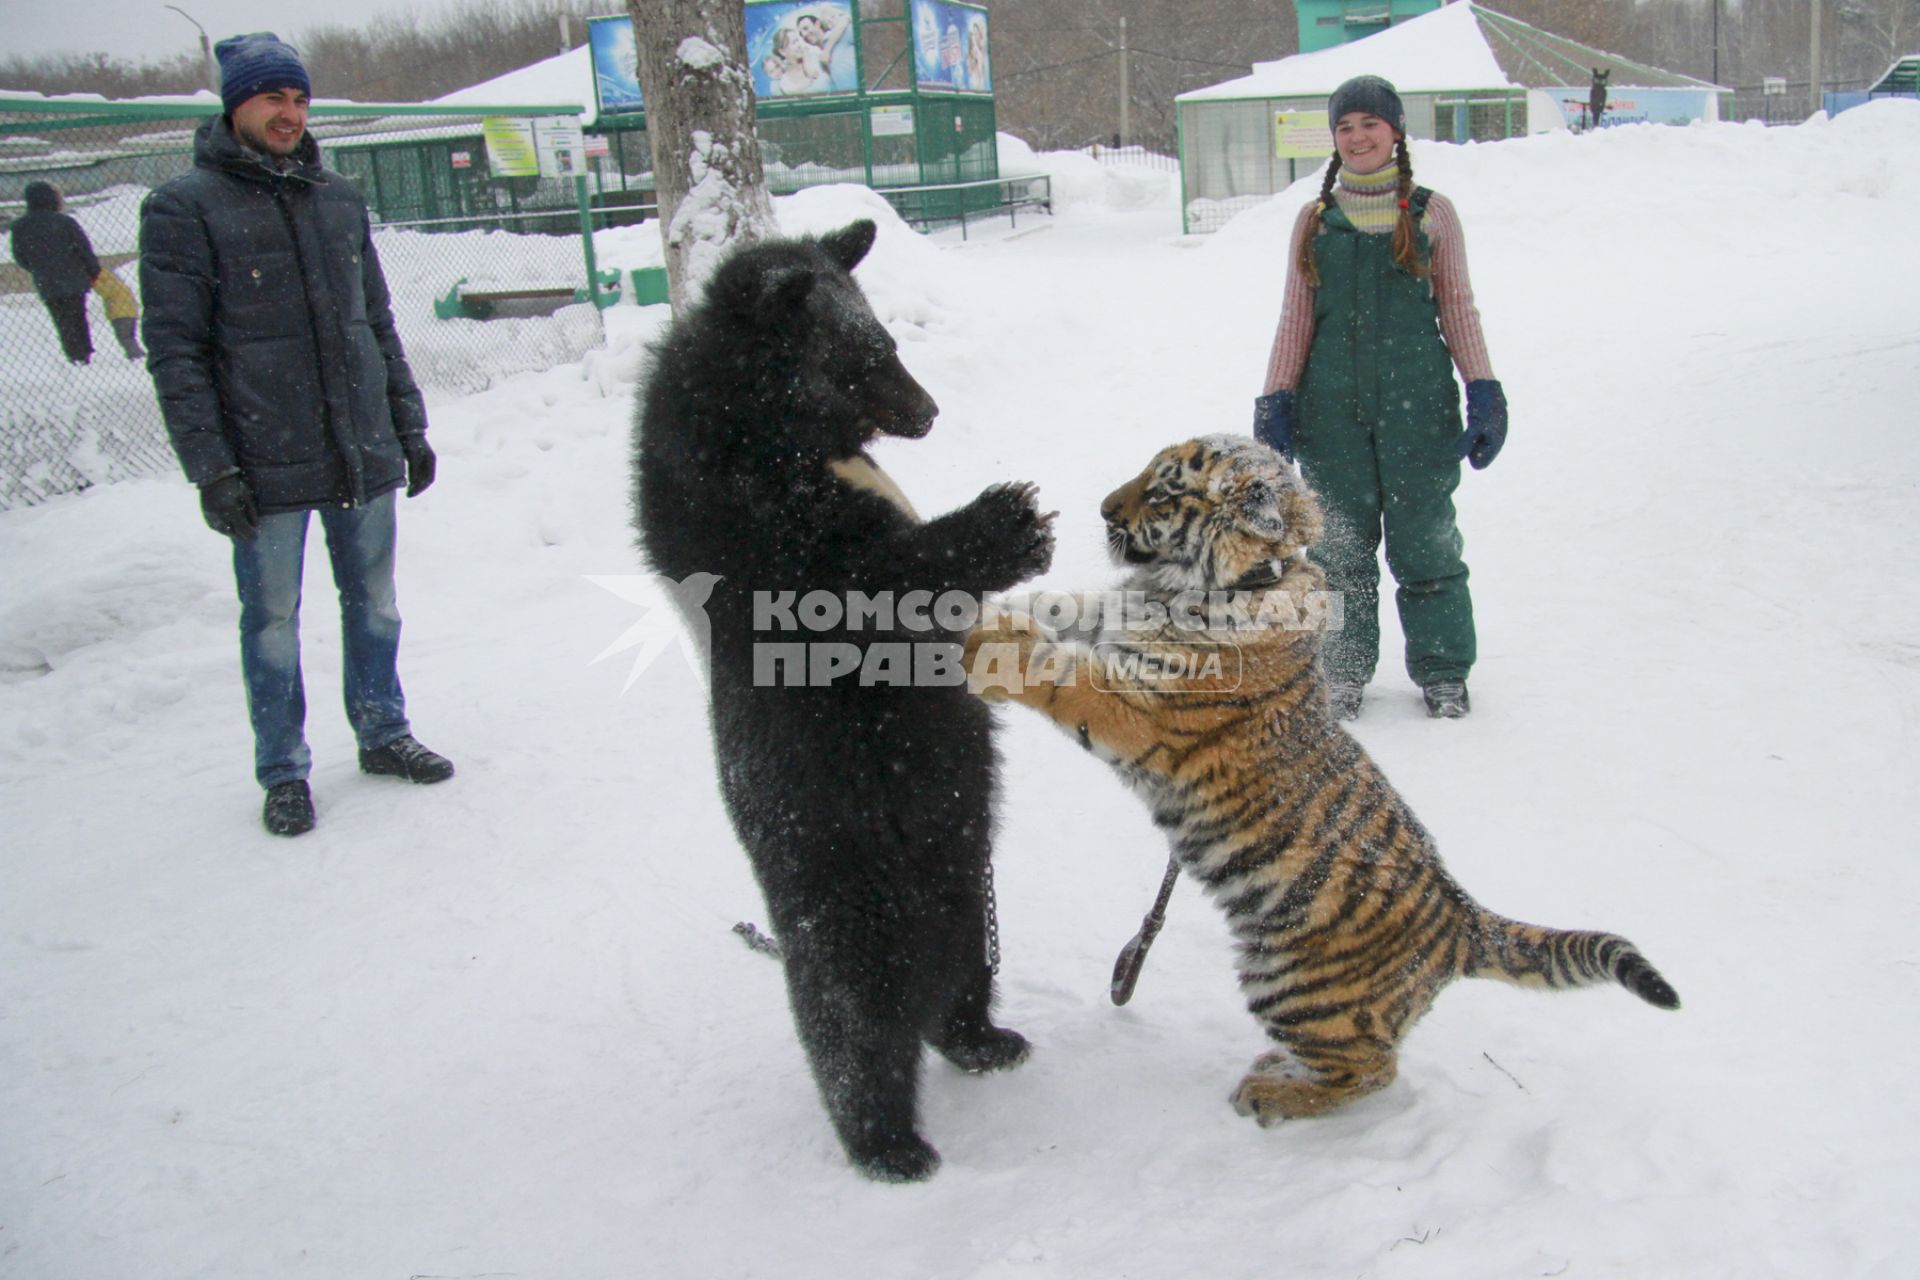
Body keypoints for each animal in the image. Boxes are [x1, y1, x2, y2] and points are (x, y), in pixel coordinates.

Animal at [629, 217, 1052, 1182]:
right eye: (869, 357)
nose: (927, 412)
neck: (781, 439)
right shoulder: (748, 523)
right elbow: (865, 583)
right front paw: (1010, 519)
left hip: (965, 882)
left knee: (964, 976)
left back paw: (987, 1038)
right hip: (840, 884)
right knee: (851, 1025)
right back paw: (892, 1144)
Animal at [967, 437, 1674, 1120]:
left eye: (1165, 491)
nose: (1104, 510)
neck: (1207, 586)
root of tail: (1463, 920)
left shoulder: (1142, 708)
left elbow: (1064, 674)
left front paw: (988, 645)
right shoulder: (1112, 619)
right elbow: (1066, 604)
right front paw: (990, 608)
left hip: (1294, 987)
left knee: (1370, 1070)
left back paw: (1270, 1093)